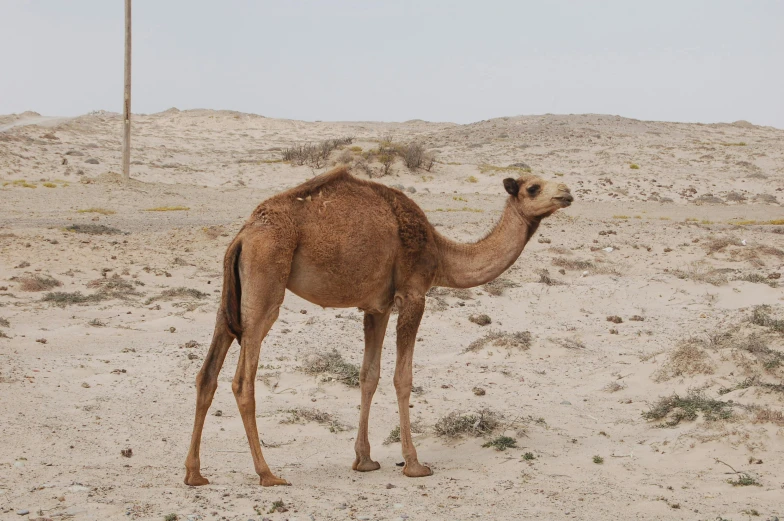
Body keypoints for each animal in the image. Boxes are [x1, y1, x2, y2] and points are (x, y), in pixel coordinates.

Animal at [185, 165, 576, 486]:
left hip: (232, 296)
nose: (567, 192)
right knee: (243, 380)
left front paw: (364, 459)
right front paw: (414, 463)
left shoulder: (377, 307)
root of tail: (244, 233)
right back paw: (267, 474)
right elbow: (403, 378)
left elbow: (368, 375)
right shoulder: (414, 294)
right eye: (533, 188)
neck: (441, 252)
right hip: (266, 279)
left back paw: (194, 474)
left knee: (207, 373)